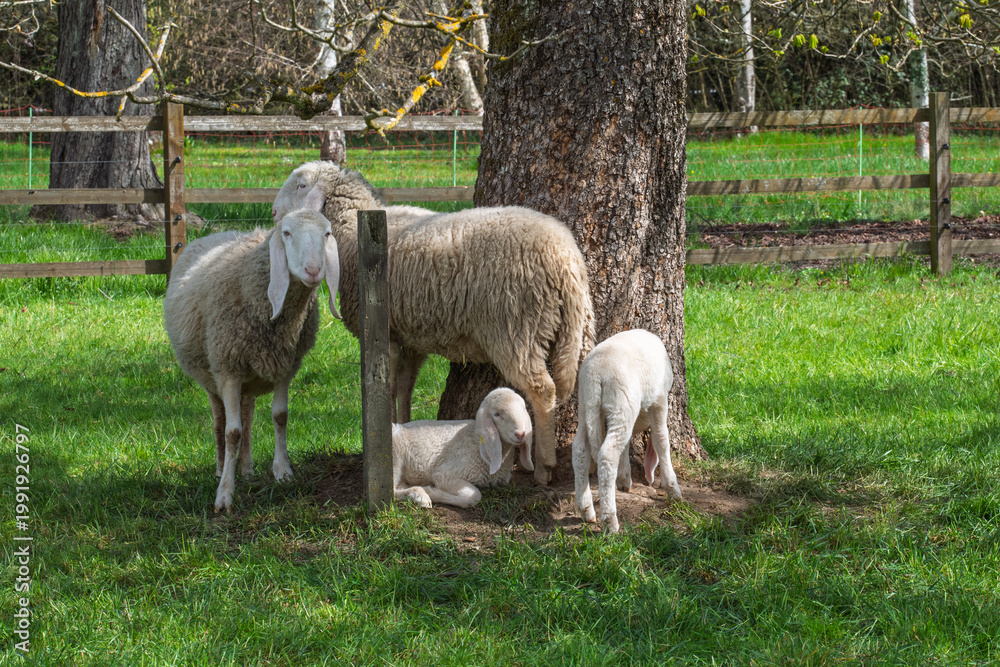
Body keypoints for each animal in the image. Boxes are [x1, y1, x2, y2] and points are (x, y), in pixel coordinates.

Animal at [163, 207, 340, 512]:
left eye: (327, 233)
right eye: (287, 233)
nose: (314, 270)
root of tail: (220, 233)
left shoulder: (285, 365)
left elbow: (279, 417)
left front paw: (283, 471)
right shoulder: (228, 369)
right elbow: (231, 432)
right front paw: (224, 494)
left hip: (248, 380)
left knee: (246, 416)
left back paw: (245, 468)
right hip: (212, 377)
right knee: (220, 421)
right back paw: (222, 467)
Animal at [272, 161, 596, 485]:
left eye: (301, 185)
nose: (274, 213)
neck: (352, 231)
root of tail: (564, 256)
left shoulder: (385, 333)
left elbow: (389, 388)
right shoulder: (410, 338)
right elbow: (405, 388)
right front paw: (404, 426)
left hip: (516, 326)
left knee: (543, 391)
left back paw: (544, 465)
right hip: (576, 328)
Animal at [392, 388, 534, 508]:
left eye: (523, 409)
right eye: (497, 414)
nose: (520, 434)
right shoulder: (446, 474)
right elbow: (474, 496)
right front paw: (431, 491)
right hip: (395, 455)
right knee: (391, 491)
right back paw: (420, 496)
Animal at [572, 329, 684, 533]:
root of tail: (595, 374)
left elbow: (626, 445)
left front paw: (624, 479)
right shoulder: (660, 400)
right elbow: (662, 440)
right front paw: (672, 488)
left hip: (585, 405)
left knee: (580, 450)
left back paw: (586, 509)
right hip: (621, 403)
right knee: (607, 454)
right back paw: (610, 520)